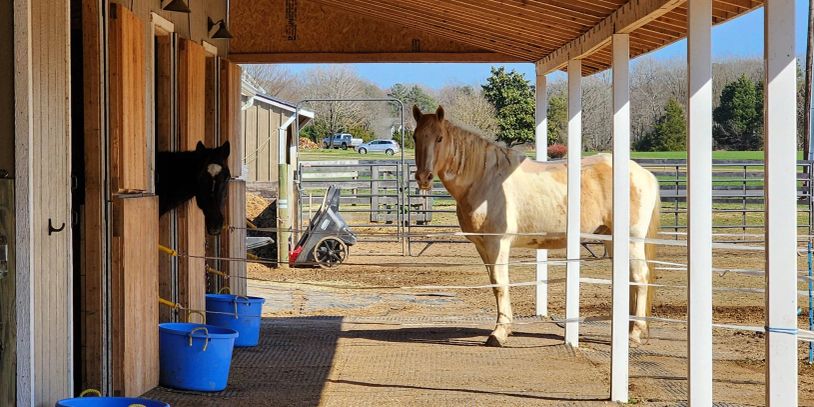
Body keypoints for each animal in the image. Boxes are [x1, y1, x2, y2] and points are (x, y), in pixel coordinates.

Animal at [412, 105, 661, 347]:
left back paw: (635, 334)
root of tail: (643, 173)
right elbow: (494, 285)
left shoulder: (497, 244)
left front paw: (499, 334)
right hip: (612, 240)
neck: (485, 179)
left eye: (440, 138)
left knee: (640, 278)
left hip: (632, 240)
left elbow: (500, 284)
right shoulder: (482, 246)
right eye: (415, 137)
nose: (424, 177)